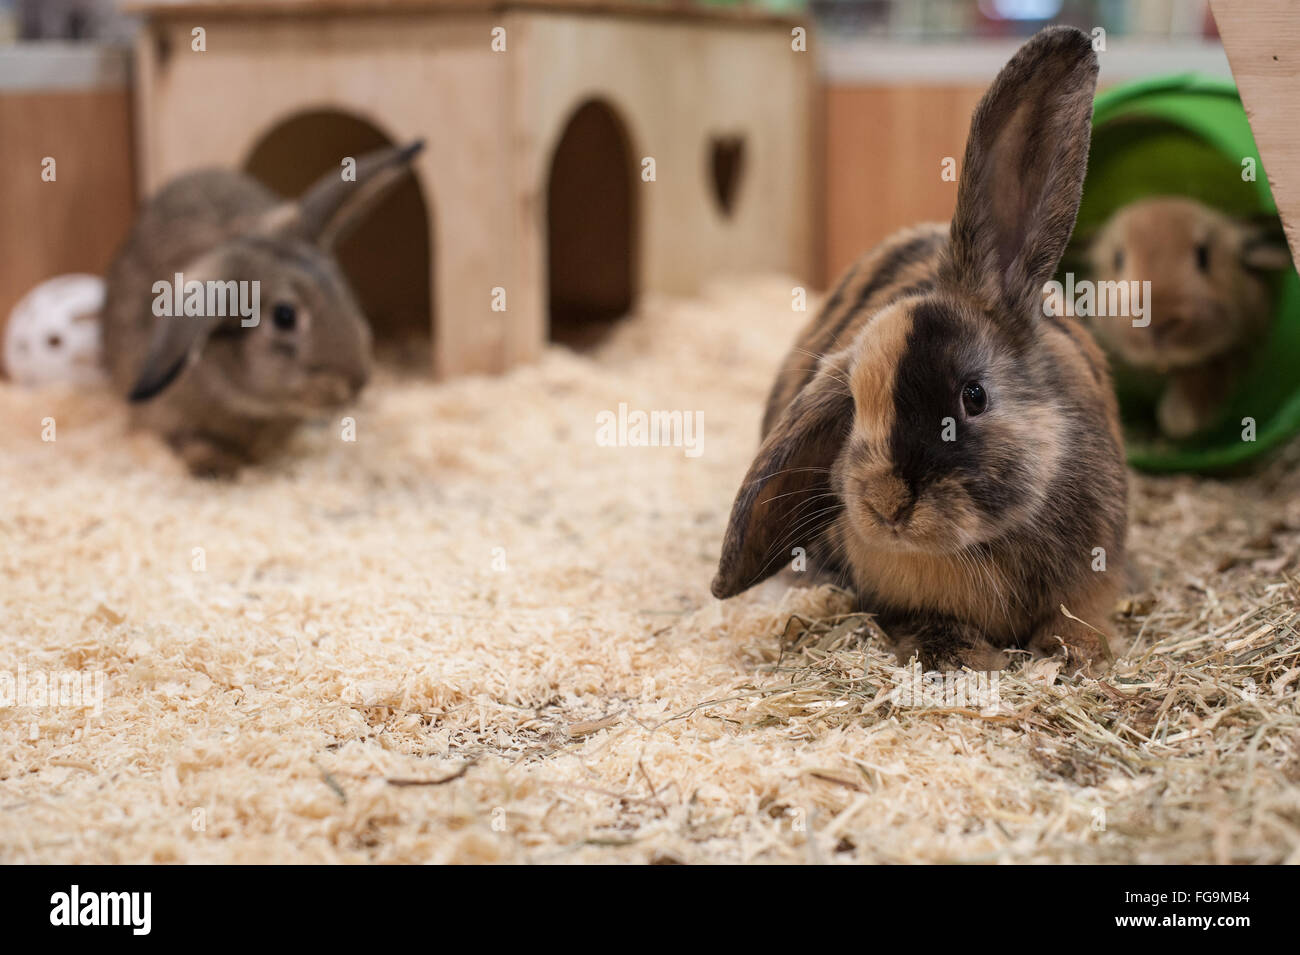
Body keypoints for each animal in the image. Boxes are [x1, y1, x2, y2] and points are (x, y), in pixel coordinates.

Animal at [712, 27, 1128, 674]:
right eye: (854, 410)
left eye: (974, 396)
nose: (886, 505)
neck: (977, 547)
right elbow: (932, 624)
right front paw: (969, 659)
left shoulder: (1096, 576)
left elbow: (1077, 617)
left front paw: (1076, 656)